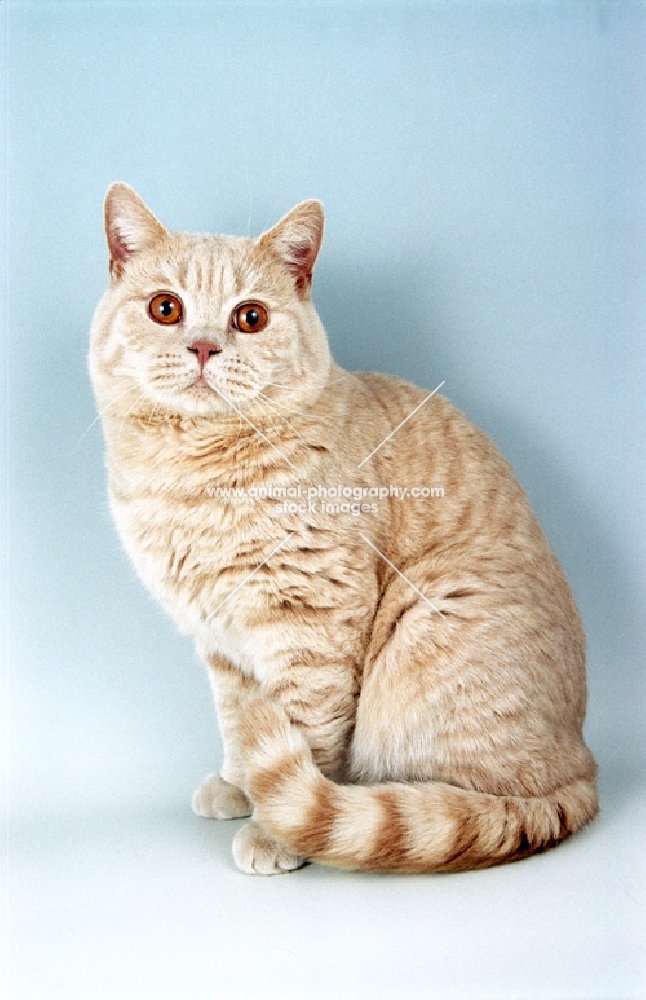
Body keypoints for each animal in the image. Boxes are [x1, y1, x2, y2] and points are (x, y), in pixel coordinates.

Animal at [88, 184, 600, 872]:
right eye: (165, 309)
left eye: (250, 317)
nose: (202, 347)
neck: (195, 475)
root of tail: (582, 769)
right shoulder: (222, 643)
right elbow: (238, 721)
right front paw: (239, 783)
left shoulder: (311, 620)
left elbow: (306, 735)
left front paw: (277, 830)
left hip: (431, 621)